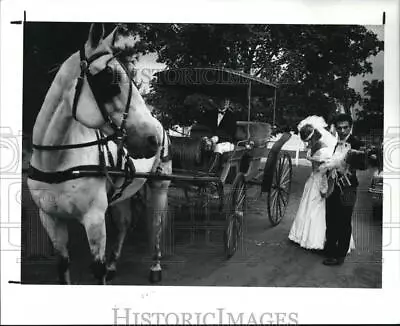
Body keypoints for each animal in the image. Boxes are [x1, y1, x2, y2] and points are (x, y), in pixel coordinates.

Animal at [27, 22, 171, 284]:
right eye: (111, 81)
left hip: (159, 186)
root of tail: (160, 123)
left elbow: (98, 269)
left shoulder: (94, 219)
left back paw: (155, 266)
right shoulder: (50, 218)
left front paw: (107, 268)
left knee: (155, 224)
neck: (56, 161)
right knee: (124, 224)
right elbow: (63, 265)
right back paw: (115, 263)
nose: (152, 139)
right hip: (123, 191)